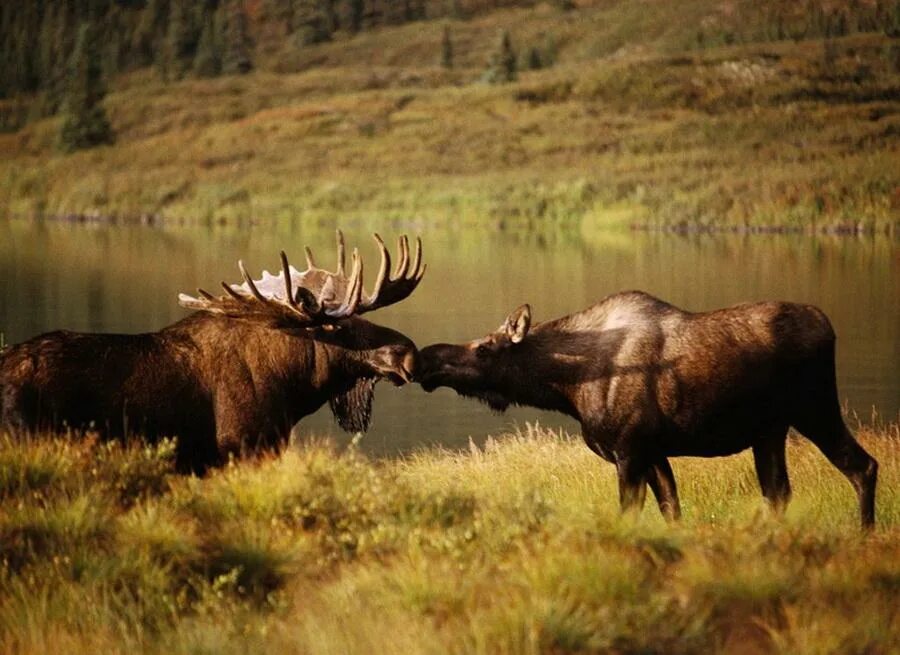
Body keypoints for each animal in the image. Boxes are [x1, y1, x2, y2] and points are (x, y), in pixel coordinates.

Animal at [420, 292, 880, 528]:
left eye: (485, 348)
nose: (427, 357)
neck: (567, 387)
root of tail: (828, 326)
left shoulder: (630, 451)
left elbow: (630, 513)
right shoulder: (654, 453)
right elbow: (672, 512)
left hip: (815, 407)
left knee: (863, 466)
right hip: (770, 431)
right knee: (780, 491)